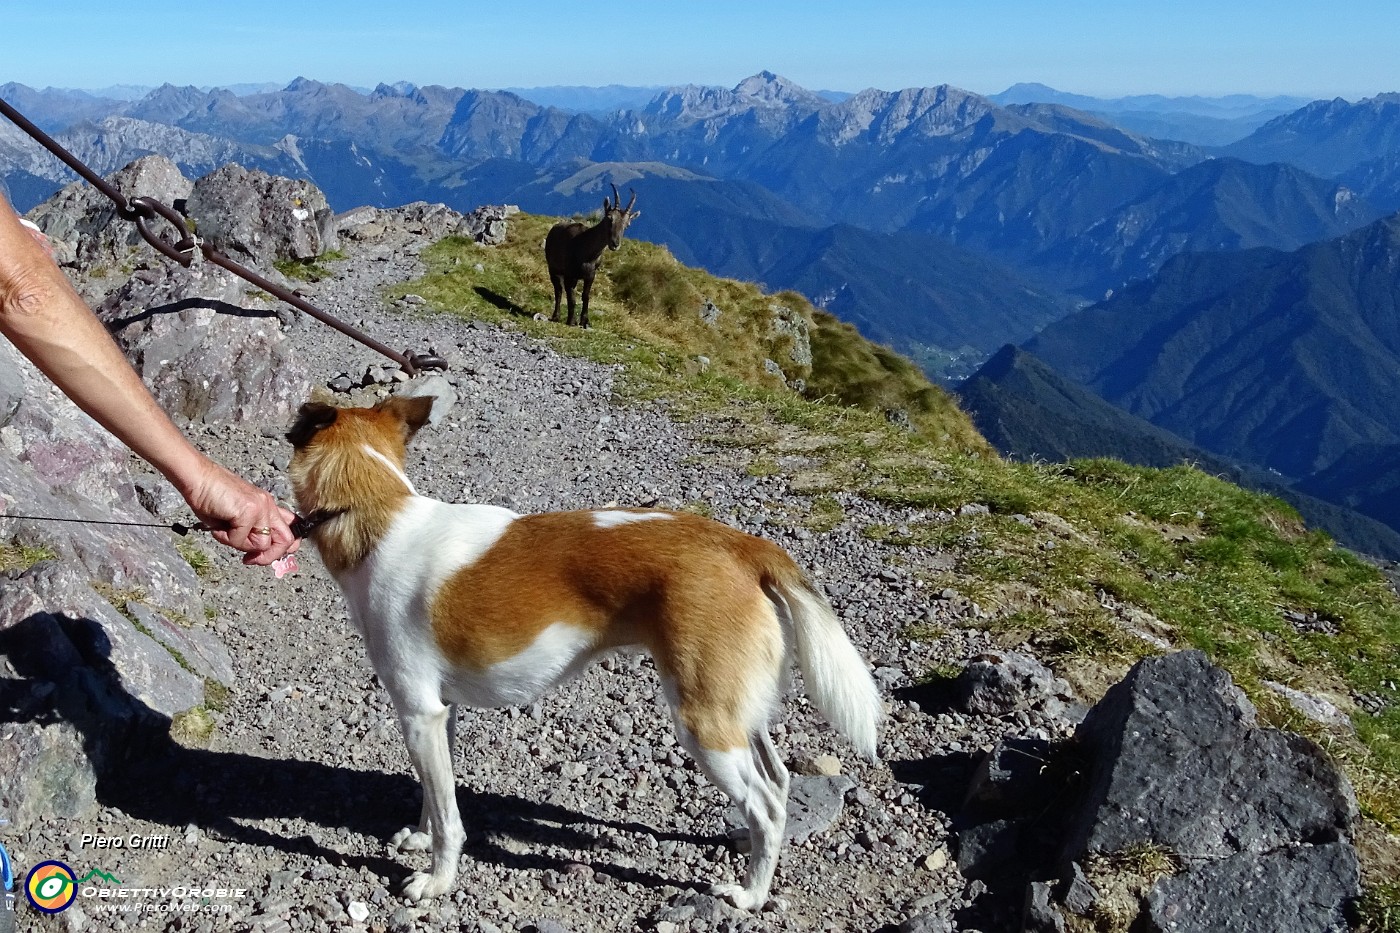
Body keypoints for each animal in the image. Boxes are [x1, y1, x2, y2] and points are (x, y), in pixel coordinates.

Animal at [284, 395, 879, 902]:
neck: (374, 510)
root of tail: (742, 544)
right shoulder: (437, 714)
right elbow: (436, 795)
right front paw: (421, 837)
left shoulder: (417, 712)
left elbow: (451, 818)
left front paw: (437, 881)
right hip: (736, 709)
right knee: (778, 781)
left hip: (704, 722)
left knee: (767, 804)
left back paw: (750, 894)